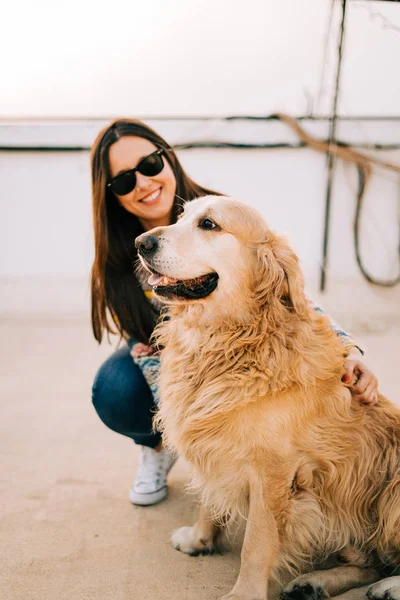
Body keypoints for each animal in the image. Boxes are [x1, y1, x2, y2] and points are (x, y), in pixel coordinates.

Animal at [135, 197, 400, 600]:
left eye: (209, 224)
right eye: (181, 216)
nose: (141, 243)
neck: (231, 340)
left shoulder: (273, 472)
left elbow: (256, 544)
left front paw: (243, 593)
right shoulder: (212, 444)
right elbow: (207, 502)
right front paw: (199, 539)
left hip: (393, 492)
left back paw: (387, 586)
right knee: (368, 562)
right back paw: (314, 582)